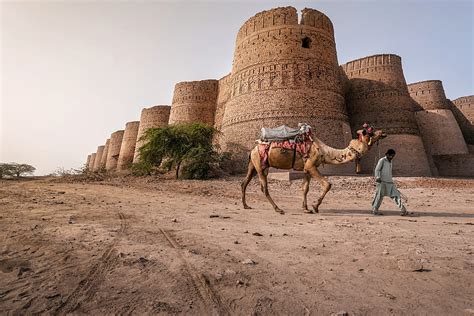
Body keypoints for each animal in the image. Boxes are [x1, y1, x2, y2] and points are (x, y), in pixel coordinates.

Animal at [241, 127, 386, 214]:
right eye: (371, 132)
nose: (382, 132)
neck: (325, 152)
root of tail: (253, 149)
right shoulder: (311, 165)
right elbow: (327, 184)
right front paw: (315, 206)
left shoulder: (307, 168)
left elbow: (305, 188)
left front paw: (305, 208)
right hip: (260, 165)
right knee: (263, 187)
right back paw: (278, 208)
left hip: (253, 164)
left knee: (244, 182)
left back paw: (245, 205)